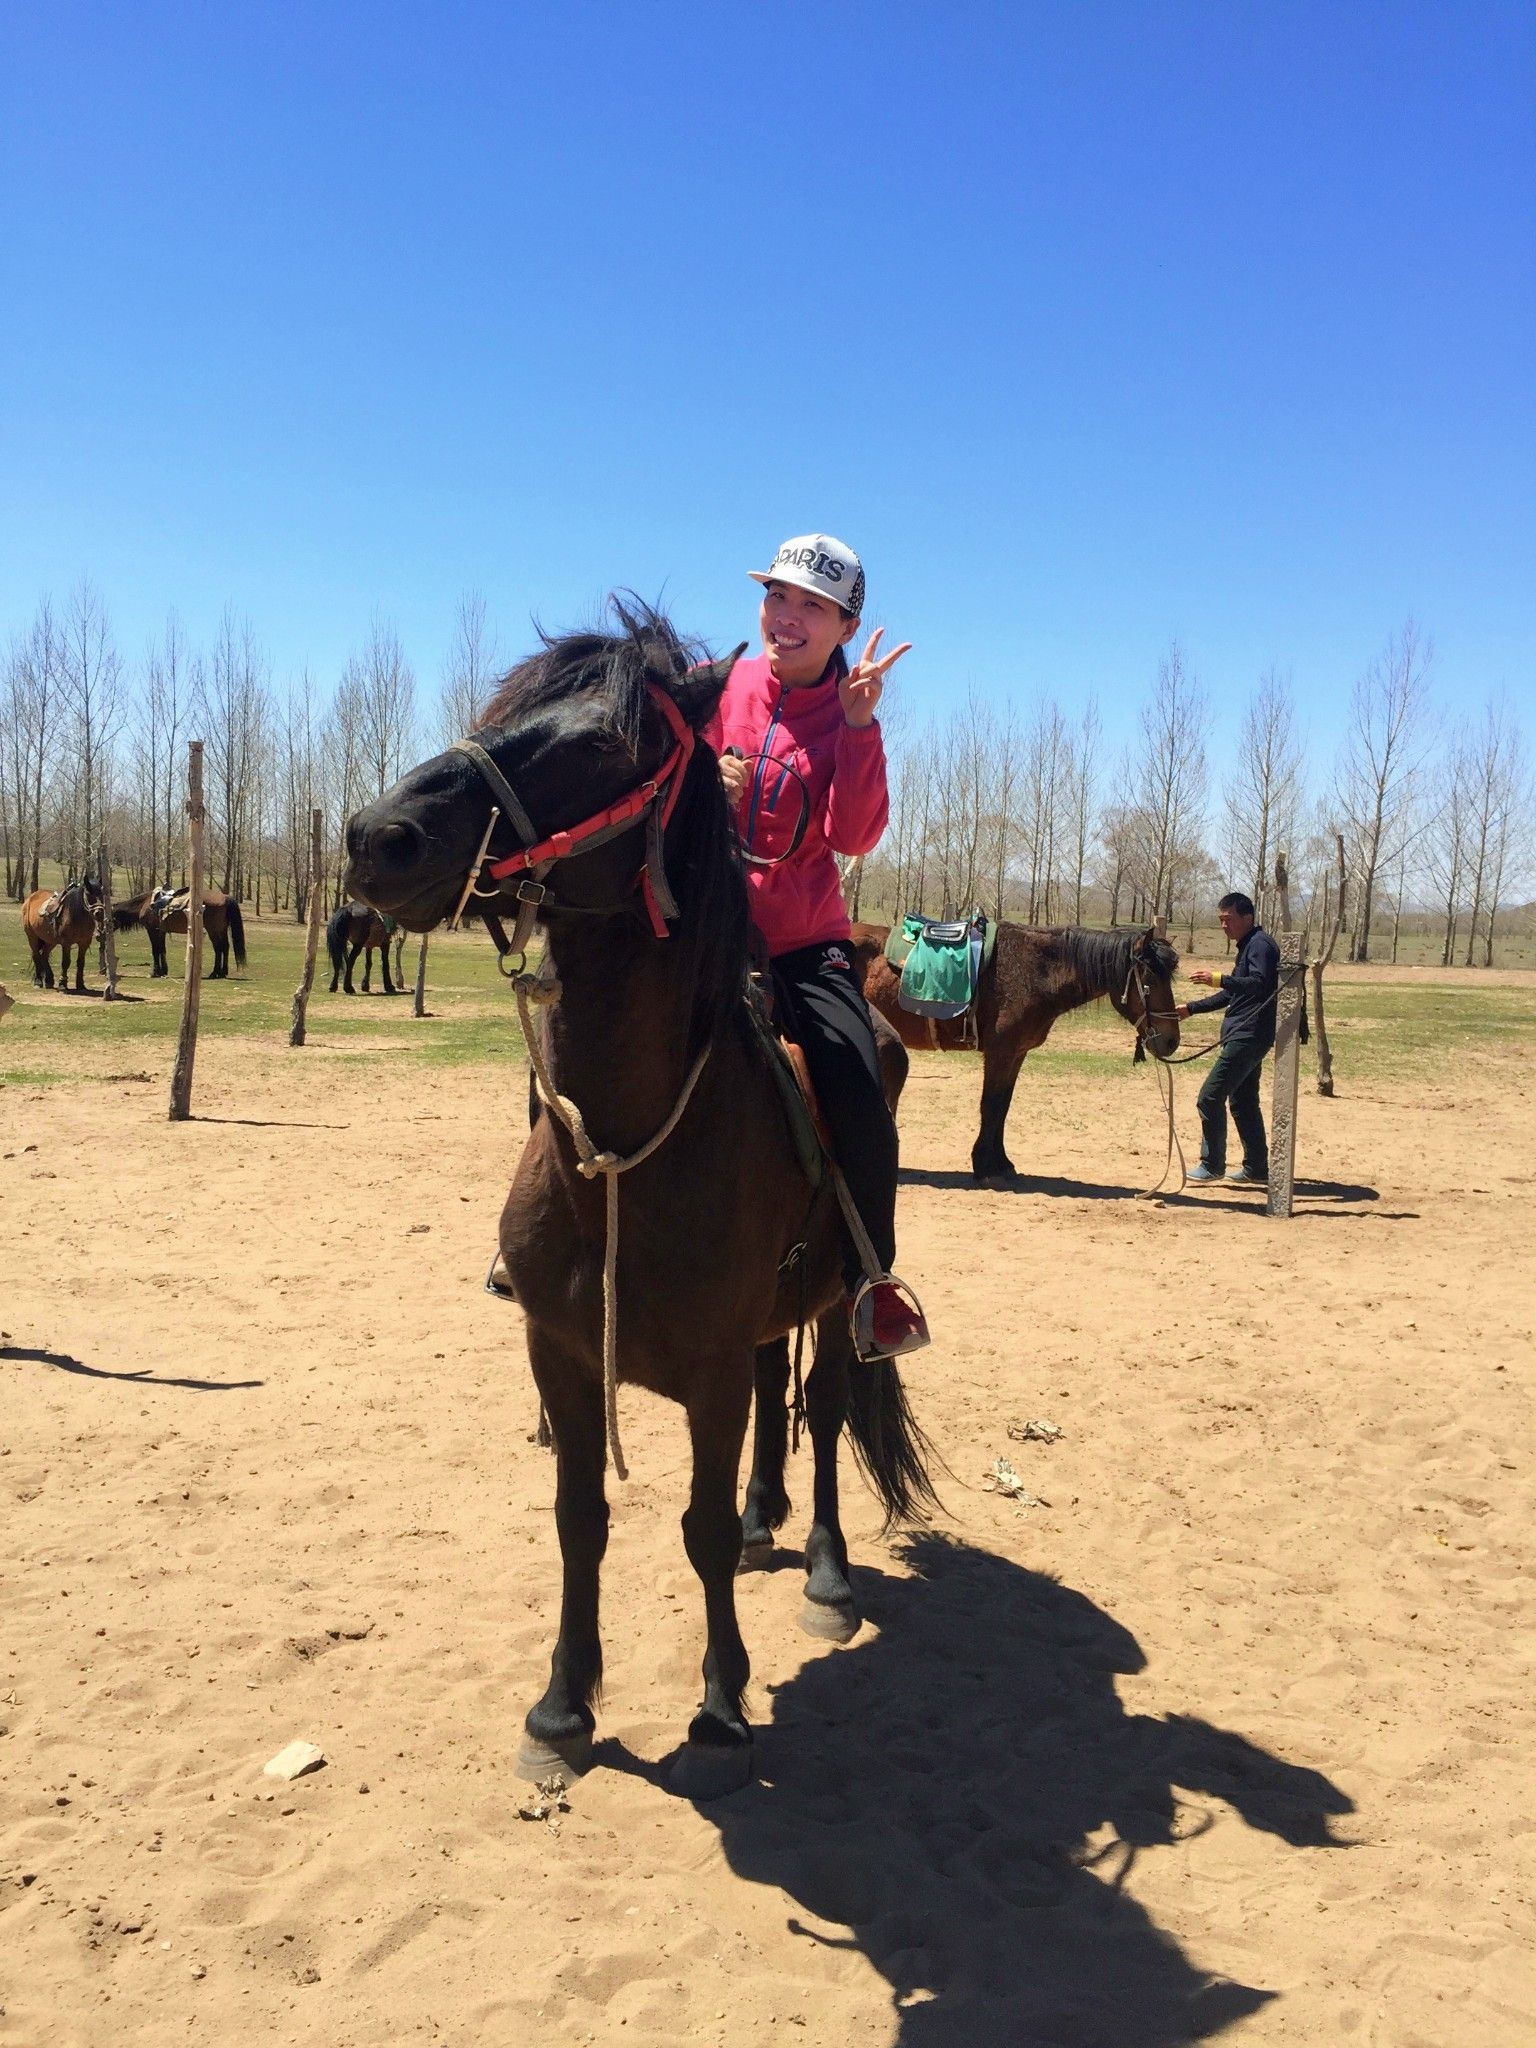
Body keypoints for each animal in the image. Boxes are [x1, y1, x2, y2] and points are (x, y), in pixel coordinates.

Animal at [114, 884, 247, 978]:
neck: (146, 903)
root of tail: (225, 897)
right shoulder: (160, 931)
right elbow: (162, 950)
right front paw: (163, 971)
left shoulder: (152, 930)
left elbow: (155, 950)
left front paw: (155, 972)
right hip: (221, 930)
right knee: (225, 947)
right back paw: (223, 972)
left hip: (213, 930)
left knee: (219, 948)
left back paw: (215, 973)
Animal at [342, 602, 933, 1794]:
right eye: (504, 708)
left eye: (603, 743)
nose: (379, 835)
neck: (628, 1154)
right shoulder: (562, 1355)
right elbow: (581, 1517)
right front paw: (563, 1706)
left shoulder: (706, 1372)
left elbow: (695, 1527)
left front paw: (719, 1703)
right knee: (776, 1389)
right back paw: (766, 1520)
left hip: (842, 1299)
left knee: (827, 1405)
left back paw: (826, 1573)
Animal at [860, 925, 1187, 1196]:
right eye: (1149, 979)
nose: (1171, 1040)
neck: (1035, 971)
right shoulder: (1001, 1053)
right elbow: (991, 1106)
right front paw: (986, 1168)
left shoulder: (1017, 1054)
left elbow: (1002, 1108)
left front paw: (1001, 1163)